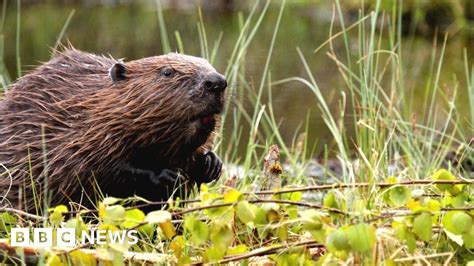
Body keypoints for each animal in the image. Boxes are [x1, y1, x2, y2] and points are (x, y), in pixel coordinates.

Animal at [0, 47, 228, 212]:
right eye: (167, 72)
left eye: (208, 64)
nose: (217, 82)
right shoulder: (75, 136)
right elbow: (94, 170)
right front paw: (166, 175)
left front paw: (211, 163)